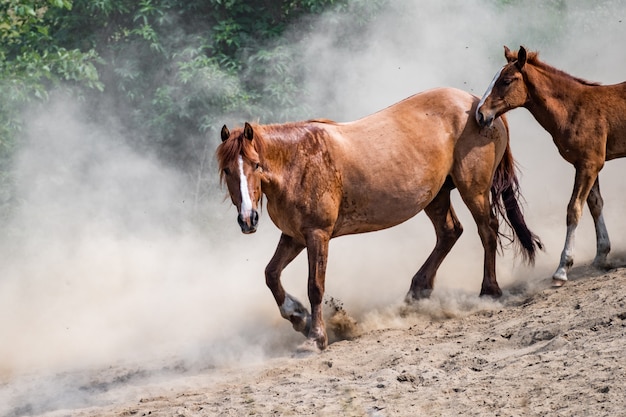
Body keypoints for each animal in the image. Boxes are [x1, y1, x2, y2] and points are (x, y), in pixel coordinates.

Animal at [217, 87, 540, 348]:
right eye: (227, 170)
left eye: (256, 165)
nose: (248, 219)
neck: (298, 162)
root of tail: (480, 105)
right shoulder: (295, 236)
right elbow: (271, 274)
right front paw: (297, 316)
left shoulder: (317, 235)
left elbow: (315, 287)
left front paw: (316, 336)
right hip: (436, 195)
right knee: (450, 232)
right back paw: (418, 291)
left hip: (473, 190)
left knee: (487, 230)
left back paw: (489, 291)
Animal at [472, 46, 624, 286]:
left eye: (506, 80)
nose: (480, 114)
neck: (574, 109)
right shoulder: (588, 164)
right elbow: (595, 205)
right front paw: (601, 255)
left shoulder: (589, 165)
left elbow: (574, 210)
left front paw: (562, 269)